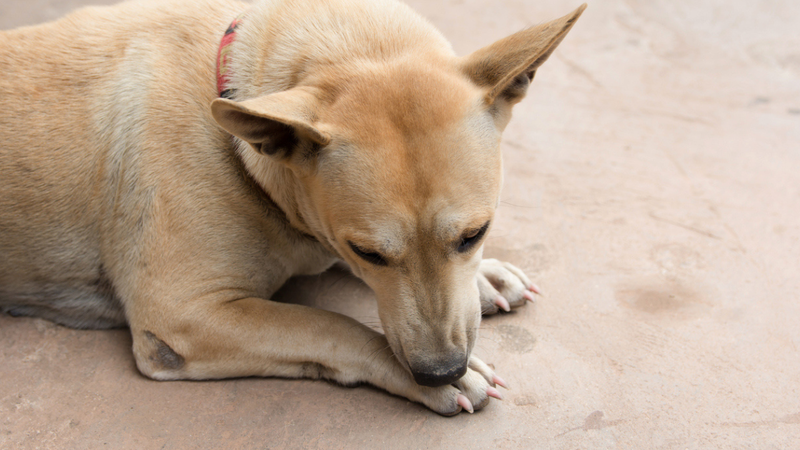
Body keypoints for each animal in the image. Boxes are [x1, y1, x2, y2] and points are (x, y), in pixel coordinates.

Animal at [1, 0, 588, 414]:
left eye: (475, 234)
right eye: (369, 252)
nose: (440, 371)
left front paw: (485, 276)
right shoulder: (181, 315)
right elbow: (329, 325)